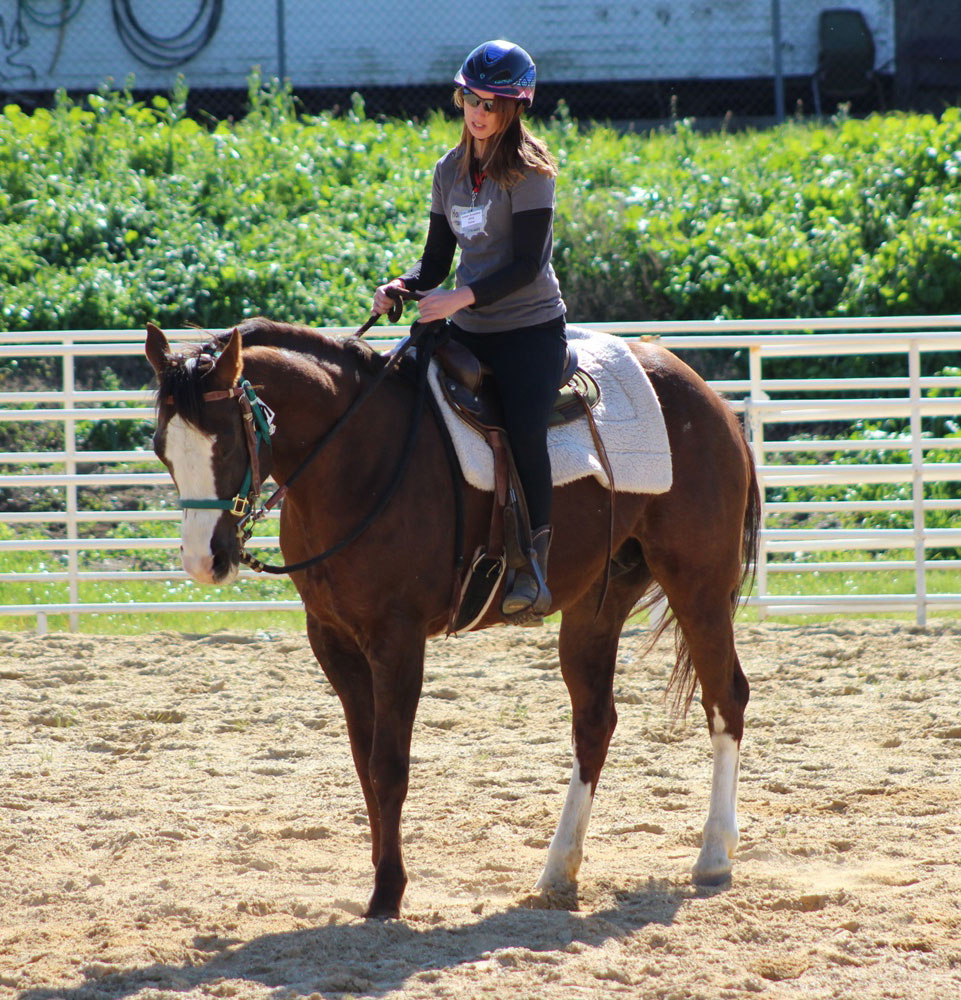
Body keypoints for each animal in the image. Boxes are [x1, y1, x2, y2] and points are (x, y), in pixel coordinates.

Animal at [144, 316, 756, 916]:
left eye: (227, 444)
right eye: (160, 448)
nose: (204, 561)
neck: (358, 458)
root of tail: (709, 398)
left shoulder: (397, 638)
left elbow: (389, 765)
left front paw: (388, 892)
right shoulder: (332, 638)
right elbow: (364, 762)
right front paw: (382, 875)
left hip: (697, 583)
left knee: (725, 698)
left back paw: (713, 855)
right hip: (598, 601)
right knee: (594, 722)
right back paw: (559, 871)